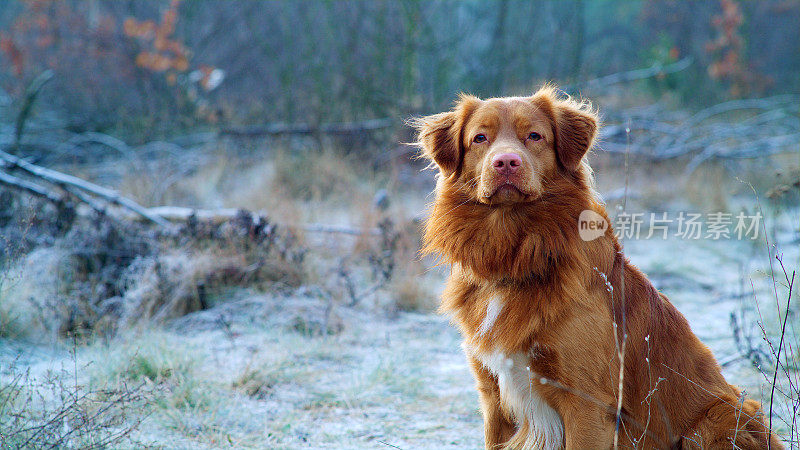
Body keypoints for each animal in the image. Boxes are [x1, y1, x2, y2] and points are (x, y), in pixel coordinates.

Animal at [412, 86, 780, 448]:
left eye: (534, 136)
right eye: (479, 138)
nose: (505, 162)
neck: (517, 254)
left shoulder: (586, 402)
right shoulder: (493, 396)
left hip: (719, 419)